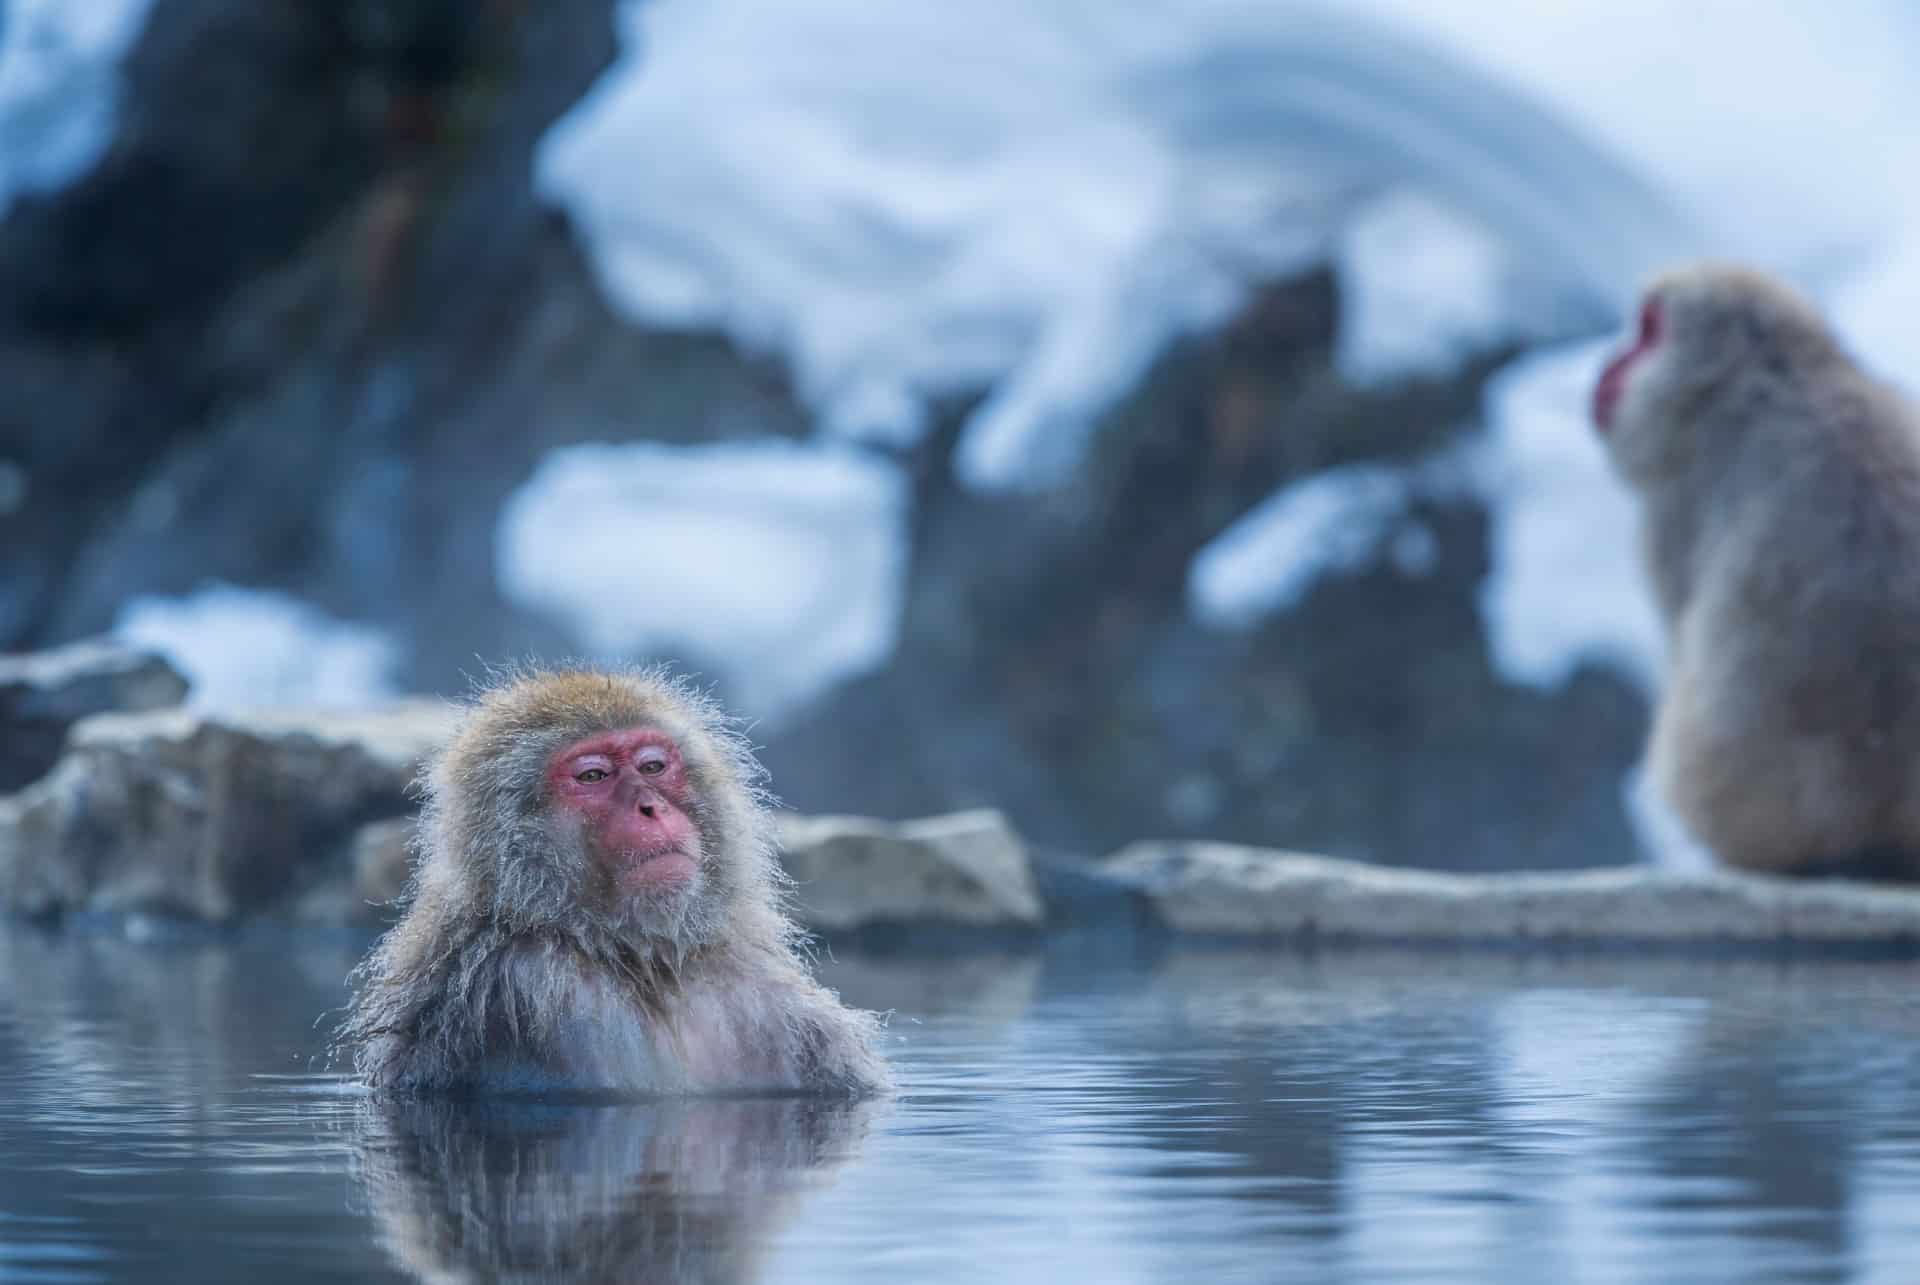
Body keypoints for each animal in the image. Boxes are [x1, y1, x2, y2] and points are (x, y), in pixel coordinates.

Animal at [337, 668, 890, 1098]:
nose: (651, 807)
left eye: (653, 766)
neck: (640, 961)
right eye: (593, 776)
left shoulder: (780, 1004)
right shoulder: (531, 987)